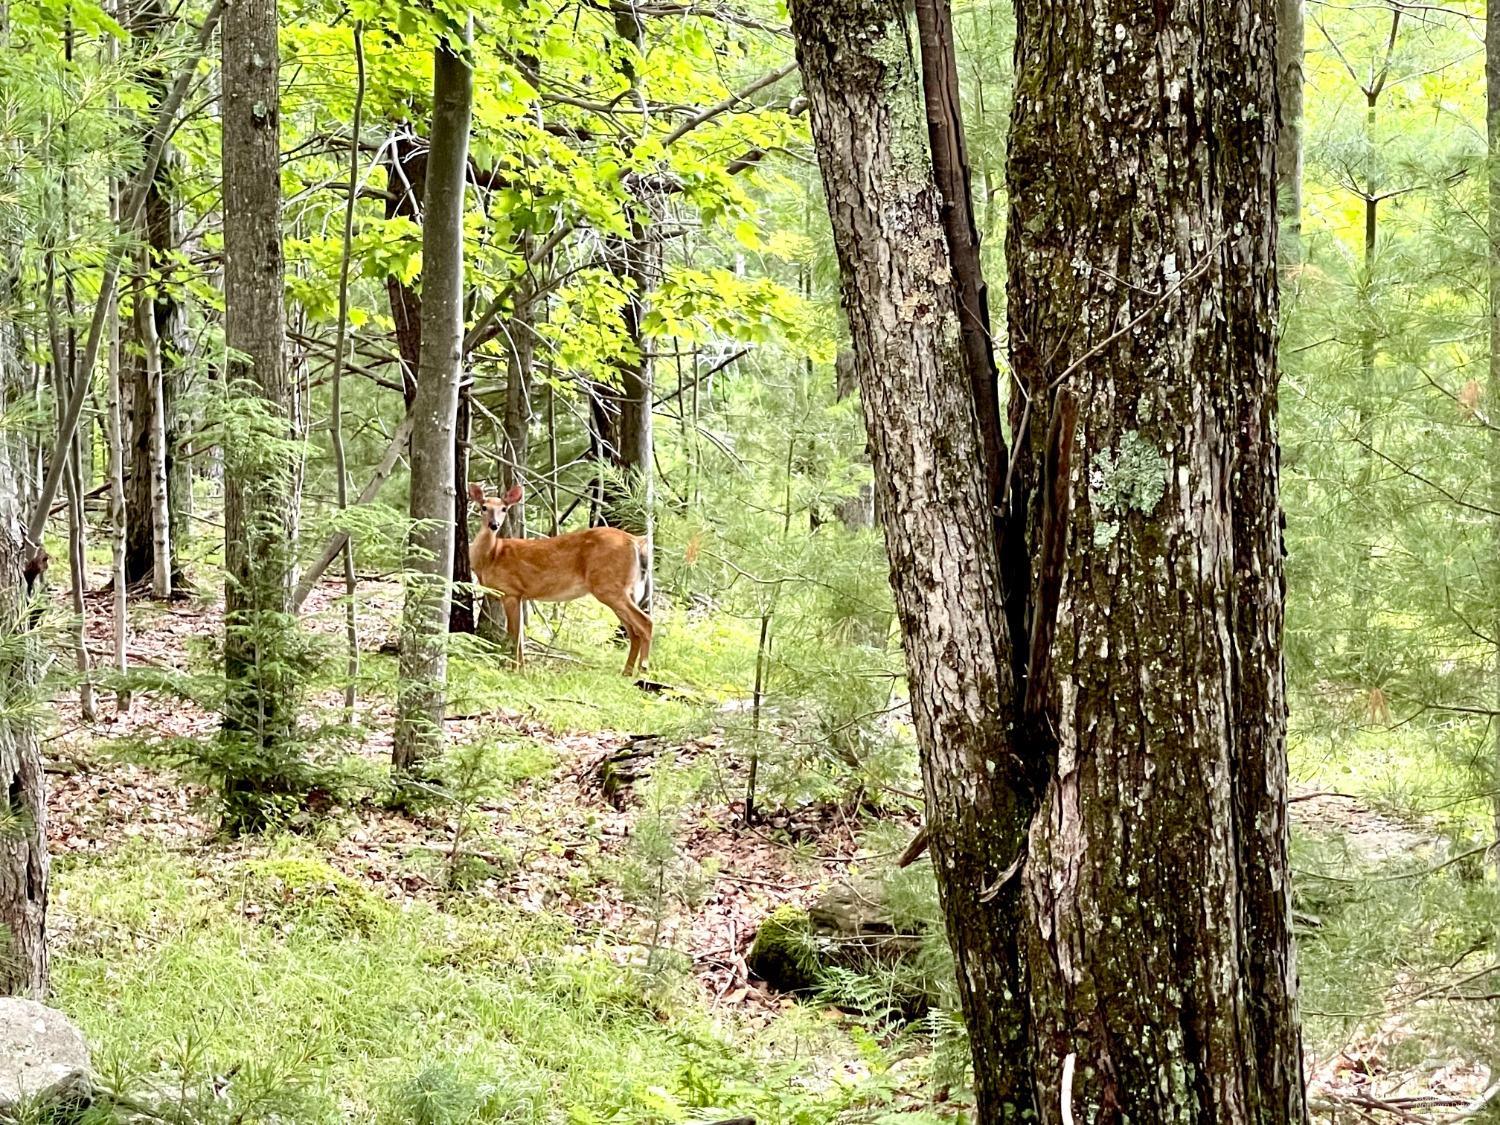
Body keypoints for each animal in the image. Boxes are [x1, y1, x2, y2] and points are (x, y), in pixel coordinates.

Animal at [465, 486, 654, 678]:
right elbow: (520, 637)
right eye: (484, 507)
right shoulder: (519, 596)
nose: (494, 525)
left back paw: (643, 670)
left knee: (645, 622)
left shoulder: (510, 591)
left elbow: (514, 635)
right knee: (633, 631)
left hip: (608, 585)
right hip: (622, 588)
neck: (492, 556)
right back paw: (627, 672)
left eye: (504, 509)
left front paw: (515, 670)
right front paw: (522, 669)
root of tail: (635, 541)